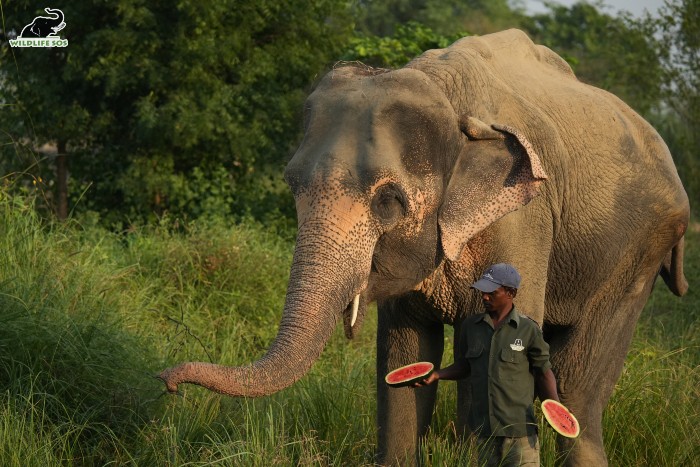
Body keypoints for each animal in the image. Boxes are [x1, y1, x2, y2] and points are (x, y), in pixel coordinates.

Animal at [160, 30, 688, 467]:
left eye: (389, 201)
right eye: (292, 185)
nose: (169, 382)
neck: (447, 97)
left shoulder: (523, 219)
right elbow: (404, 353)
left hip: (638, 255)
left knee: (577, 383)